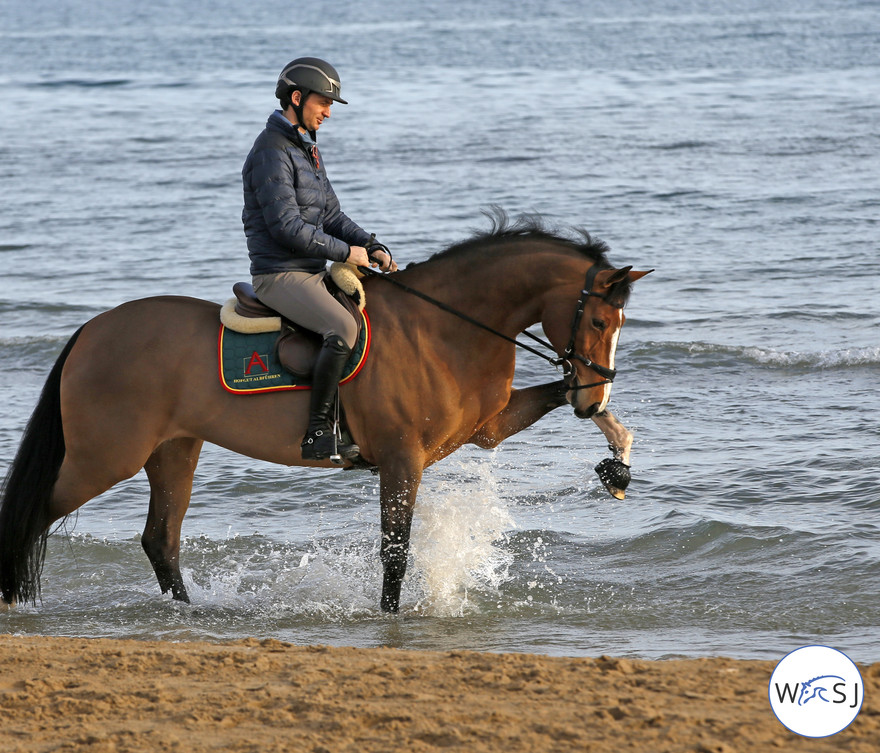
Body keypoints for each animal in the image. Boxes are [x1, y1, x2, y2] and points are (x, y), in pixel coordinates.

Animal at [0, 216, 648, 612]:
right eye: (597, 320)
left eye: (619, 323)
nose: (596, 395)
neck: (443, 327)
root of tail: (92, 330)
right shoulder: (402, 459)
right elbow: (395, 550)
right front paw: (390, 617)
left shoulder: (485, 430)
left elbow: (557, 394)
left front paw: (617, 450)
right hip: (103, 457)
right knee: (30, 516)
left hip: (173, 452)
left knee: (161, 540)